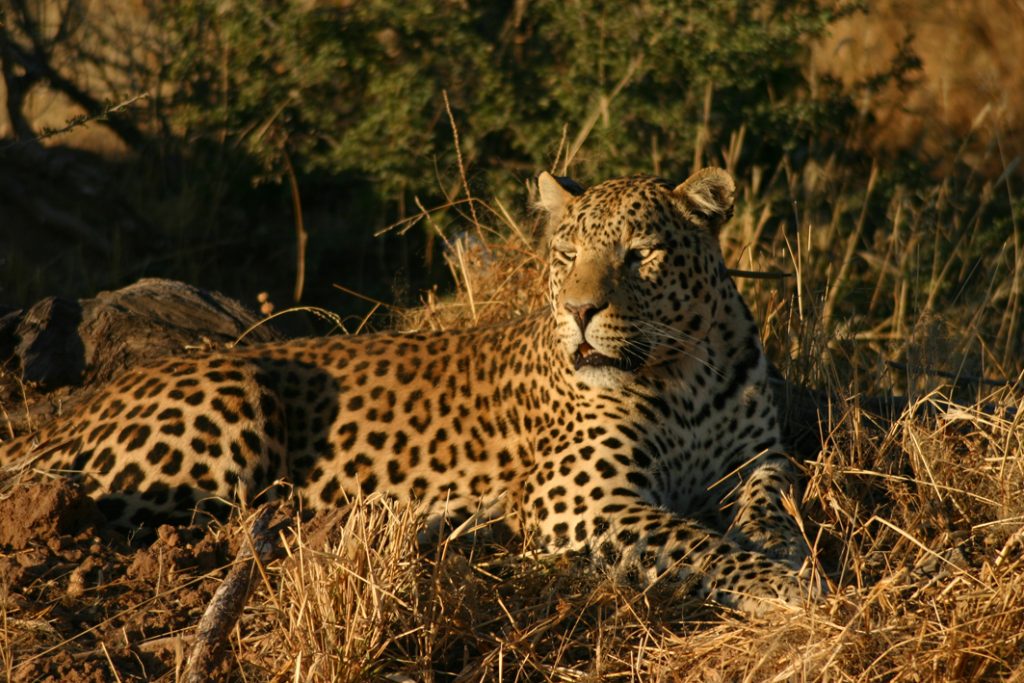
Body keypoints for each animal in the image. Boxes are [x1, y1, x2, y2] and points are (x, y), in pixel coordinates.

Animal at [0, 167, 816, 615]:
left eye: (640, 254)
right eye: (566, 256)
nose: (581, 311)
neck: (685, 369)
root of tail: (76, 413)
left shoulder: (759, 457)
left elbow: (773, 506)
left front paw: (786, 553)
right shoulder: (578, 498)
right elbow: (696, 541)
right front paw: (787, 587)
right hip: (233, 397)